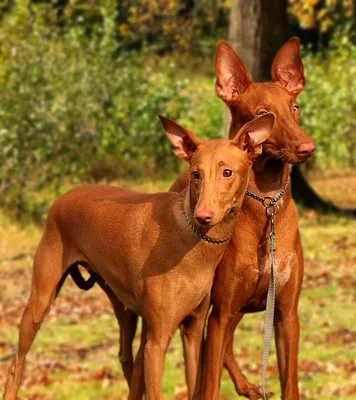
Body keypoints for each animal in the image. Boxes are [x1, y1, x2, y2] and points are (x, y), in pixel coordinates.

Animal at [3, 113, 276, 400]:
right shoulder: (157, 342)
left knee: (127, 360)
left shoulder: (192, 332)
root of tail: (63, 196)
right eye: (195, 174)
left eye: (227, 172)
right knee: (17, 363)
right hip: (40, 302)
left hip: (126, 311)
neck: (193, 240)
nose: (203, 216)